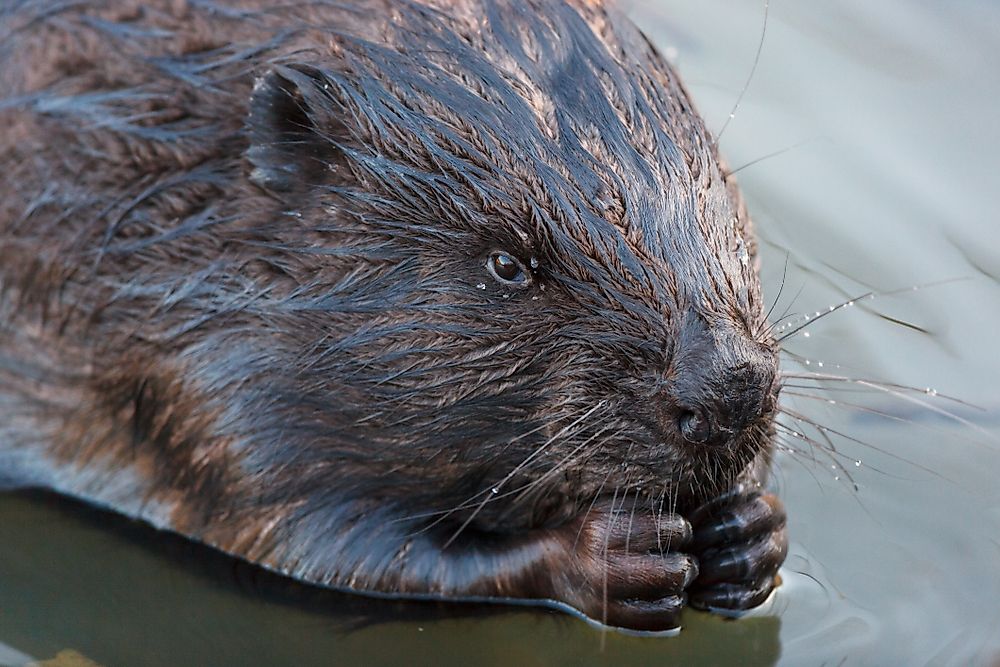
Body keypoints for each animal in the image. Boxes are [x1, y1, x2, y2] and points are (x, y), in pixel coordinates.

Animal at [0, 0, 788, 632]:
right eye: (508, 263)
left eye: (715, 203)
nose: (729, 389)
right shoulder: (198, 386)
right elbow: (312, 541)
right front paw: (615, 557)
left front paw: (752, 533)